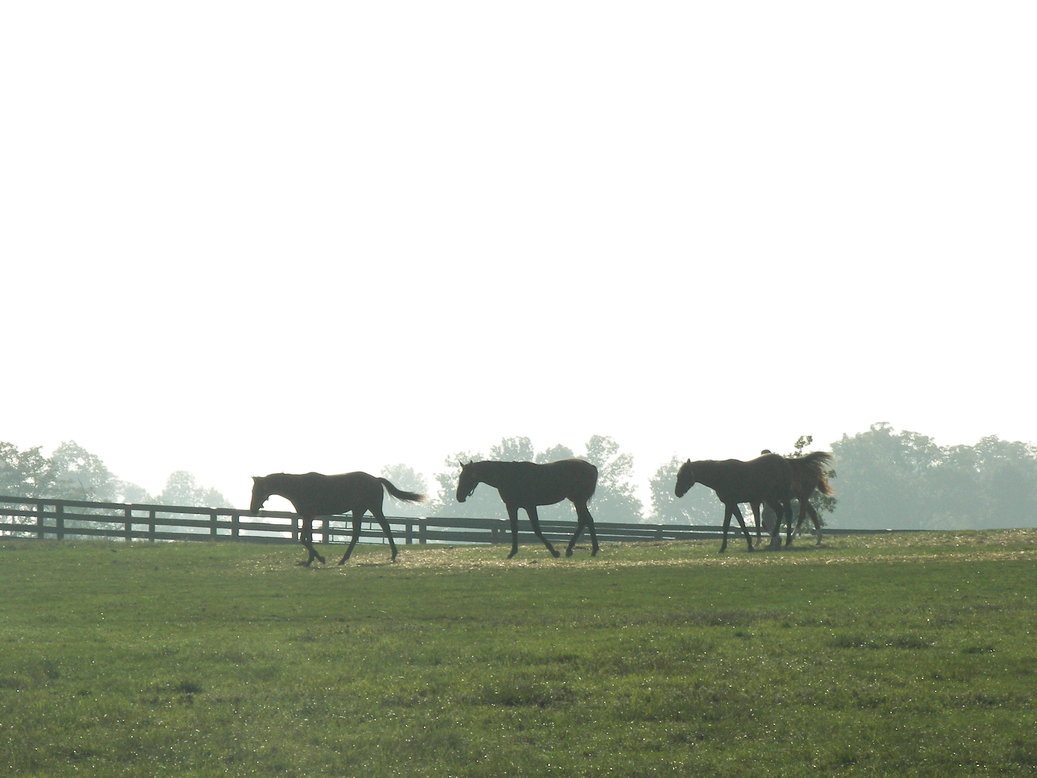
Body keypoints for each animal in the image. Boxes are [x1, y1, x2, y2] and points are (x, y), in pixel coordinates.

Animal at [249, 473, 425, 568]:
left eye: (257, 490)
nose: (252, 509)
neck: (299, 487)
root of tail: (375, 479)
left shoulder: (308, 516)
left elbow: (304, 539)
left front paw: (320, 558)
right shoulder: (308, 517)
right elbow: (307, 538)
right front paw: (310, 560)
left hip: (370, 508)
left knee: (381, 528)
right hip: (360, 510)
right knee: (365, 531)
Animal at [456, 456, 597, 560]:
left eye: (468, 477)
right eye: (460, 477)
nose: (459, 497)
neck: (508, 476)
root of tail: (591, 467)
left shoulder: (530, 506)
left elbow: (536, 529)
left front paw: (554, 552)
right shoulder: (512, 507)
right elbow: (514, 528)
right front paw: (512, 552)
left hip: (578, 500)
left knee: (586, 520)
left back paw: (587, 550)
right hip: (578, 501)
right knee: (585, 521)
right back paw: (575, 550)